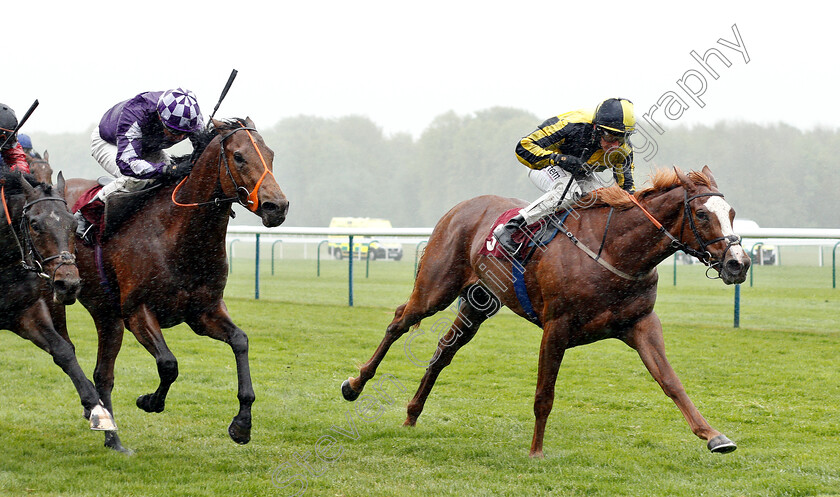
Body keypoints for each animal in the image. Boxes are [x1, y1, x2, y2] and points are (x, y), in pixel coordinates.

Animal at [0, 170, 115, 434]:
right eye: (34, 224)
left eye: (73, 224)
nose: (68, 284)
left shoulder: (25, 312)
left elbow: (63, 352)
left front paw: (98, 410)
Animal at [344, 166, 752, 458]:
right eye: (701, 214)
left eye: (732, 212)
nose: (739, 263)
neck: (615, 252)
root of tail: (460, 207)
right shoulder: (557, 327)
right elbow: (545, 394)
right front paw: (536, 451)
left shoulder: (640, 324)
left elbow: (671, 382)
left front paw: (714, 436)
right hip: (436, 288)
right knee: (399, 321)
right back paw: (355, 384)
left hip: (478, 302)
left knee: (444, 349)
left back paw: (412, 413)